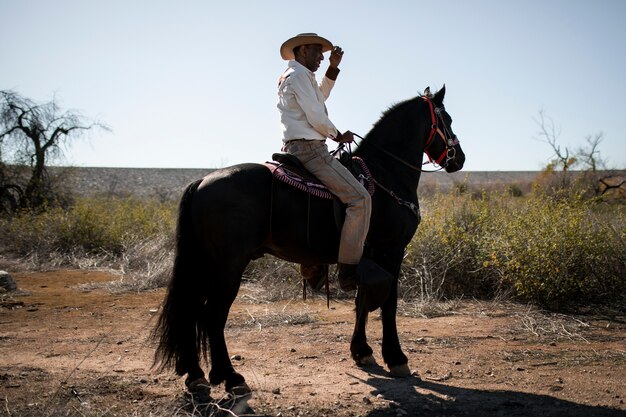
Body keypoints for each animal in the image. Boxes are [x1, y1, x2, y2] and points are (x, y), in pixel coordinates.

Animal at [152, 84, 464, 396]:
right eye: (447, 120)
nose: (459, 159)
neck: (385, 173)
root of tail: (201, 183)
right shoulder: (392, 251)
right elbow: (388, 304)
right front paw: (396, 358)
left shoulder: (367, 257)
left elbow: (362, 301)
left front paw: (362, 352)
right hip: (228, 265)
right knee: (213, 315)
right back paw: (230, 377)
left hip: (204, 263)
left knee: (191, 310)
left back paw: (195, 375)